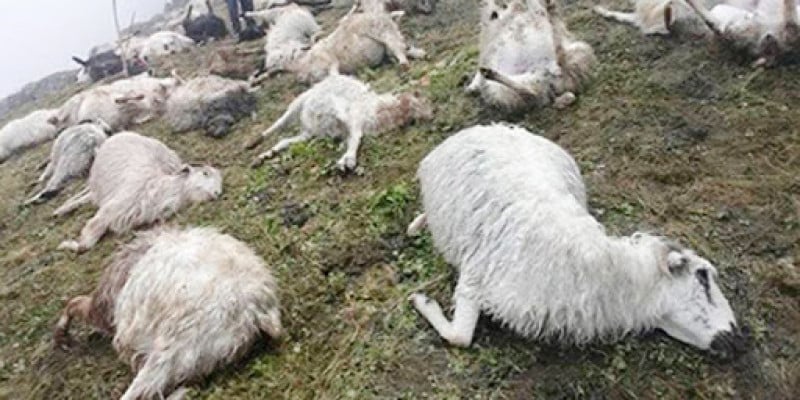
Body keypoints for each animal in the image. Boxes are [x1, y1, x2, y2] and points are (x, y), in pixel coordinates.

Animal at [51, 227, 282, 398]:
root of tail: (254, 311)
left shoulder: (106, 309)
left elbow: (74, 304)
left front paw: (62, 336)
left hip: (171, 349)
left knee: (142, 390)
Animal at [54, 132, 222, 253]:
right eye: (205, 173)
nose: (218, 193)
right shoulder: (108, 212)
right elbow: (86, 243)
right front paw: (66, 245)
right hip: (99, 180)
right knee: (88, 192)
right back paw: (61, 209)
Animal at [245, 67, 432, 170]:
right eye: (418, 100)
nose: (431, 116)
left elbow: (352, 137)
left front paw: (345, 159)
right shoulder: (354, 116)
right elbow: (353, 132)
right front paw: (348, 160)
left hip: (307, 134)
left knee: (284, 141)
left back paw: (261, 157)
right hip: (297, 103)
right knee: (278, 124)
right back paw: (252, 144)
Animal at [410, 123, 748, 358]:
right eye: (703, 277)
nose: (737, 340)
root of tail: (493, 126)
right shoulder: (476, 275)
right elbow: (460, 337)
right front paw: (422, 300)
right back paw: (416, 224)